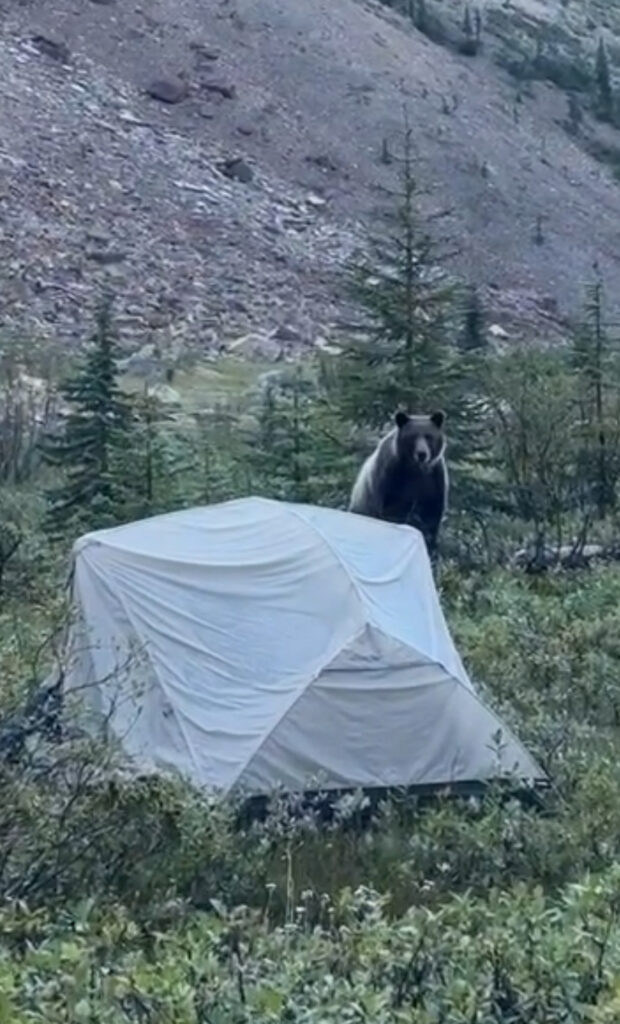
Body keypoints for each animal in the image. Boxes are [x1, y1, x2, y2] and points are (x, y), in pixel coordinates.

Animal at [348, 409, 448, 558]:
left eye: (428, 436)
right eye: (413, 436)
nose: (422, 453)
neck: (416, 469)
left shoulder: (434, 479)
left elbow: (430, 516)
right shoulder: (392, 476)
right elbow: (392, 510)